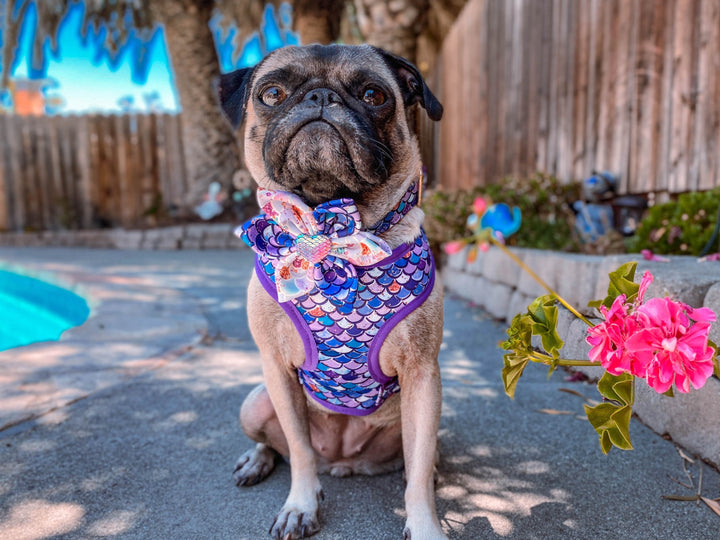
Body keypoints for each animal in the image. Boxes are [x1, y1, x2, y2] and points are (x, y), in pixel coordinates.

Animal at [217, 44, 448, 536]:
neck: (329, 221)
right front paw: (301, 505)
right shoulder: (278, 371)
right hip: (256, 401)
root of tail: (343, 461)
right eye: (271, 93)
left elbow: (418, 472)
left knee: (419, 459)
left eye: (374, 94)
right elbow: (300, 450)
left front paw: (425, 524)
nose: (321, 96)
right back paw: (256, 460)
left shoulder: (422, 376)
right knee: (279, 446)